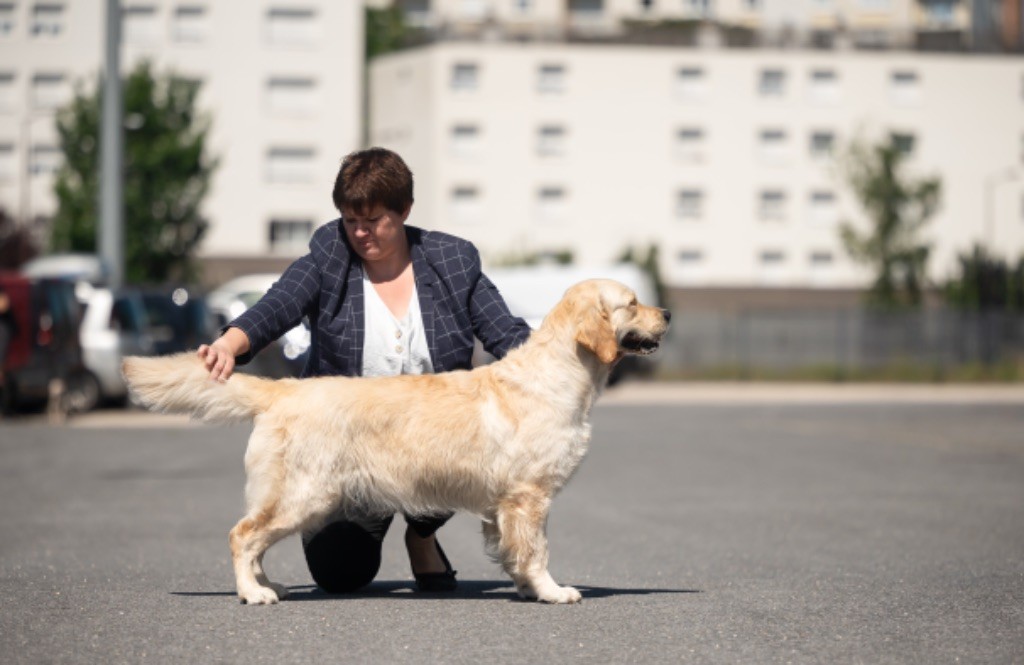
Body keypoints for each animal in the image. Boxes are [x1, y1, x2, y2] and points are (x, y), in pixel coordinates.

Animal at [121, 276, 671, 602]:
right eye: (632, 303)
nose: (668, 314)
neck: (560, 373)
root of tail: (282, 389)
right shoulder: (529, 496)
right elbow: (538, 551)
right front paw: (553, 591)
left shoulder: (505, 506)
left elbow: (516, 550)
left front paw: (525, 587)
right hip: (303, 496)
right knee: (242, 534)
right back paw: (253, 593)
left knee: (254, 540)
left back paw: (265, 583)